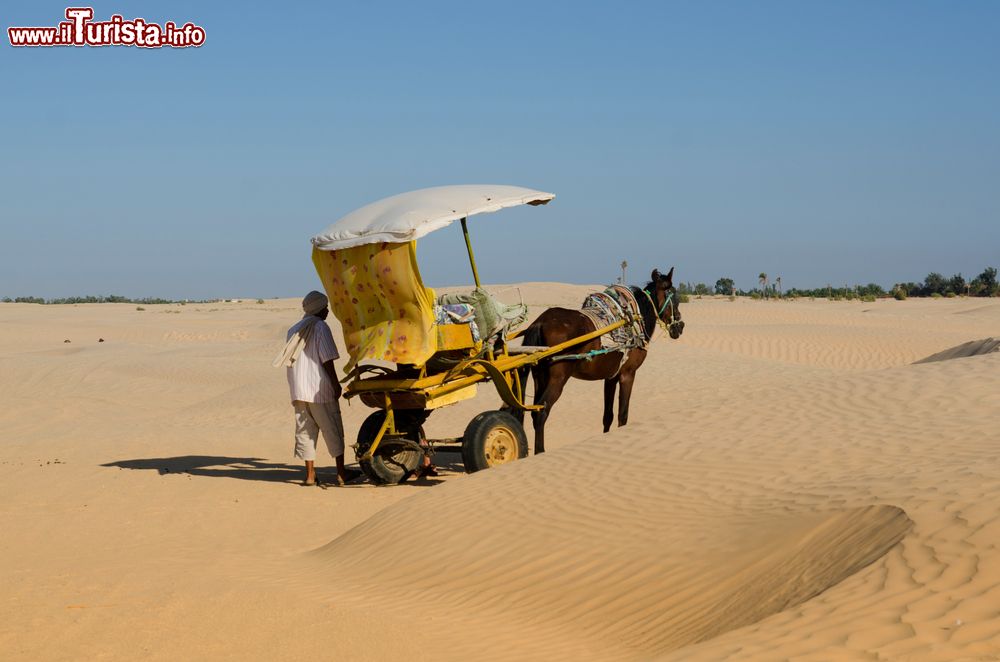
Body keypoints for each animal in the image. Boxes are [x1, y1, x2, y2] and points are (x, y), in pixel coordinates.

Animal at [512, 268, 684, 454]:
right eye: (674, 296)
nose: (680, 326)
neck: (633, 318)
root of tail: (540, 322)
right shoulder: (628, 374)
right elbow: (623, 415)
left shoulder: (611, 377)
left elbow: (607, 416)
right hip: (557, 378)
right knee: (541, 412)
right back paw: (540, 452)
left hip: (539, 377)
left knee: (533, 410)